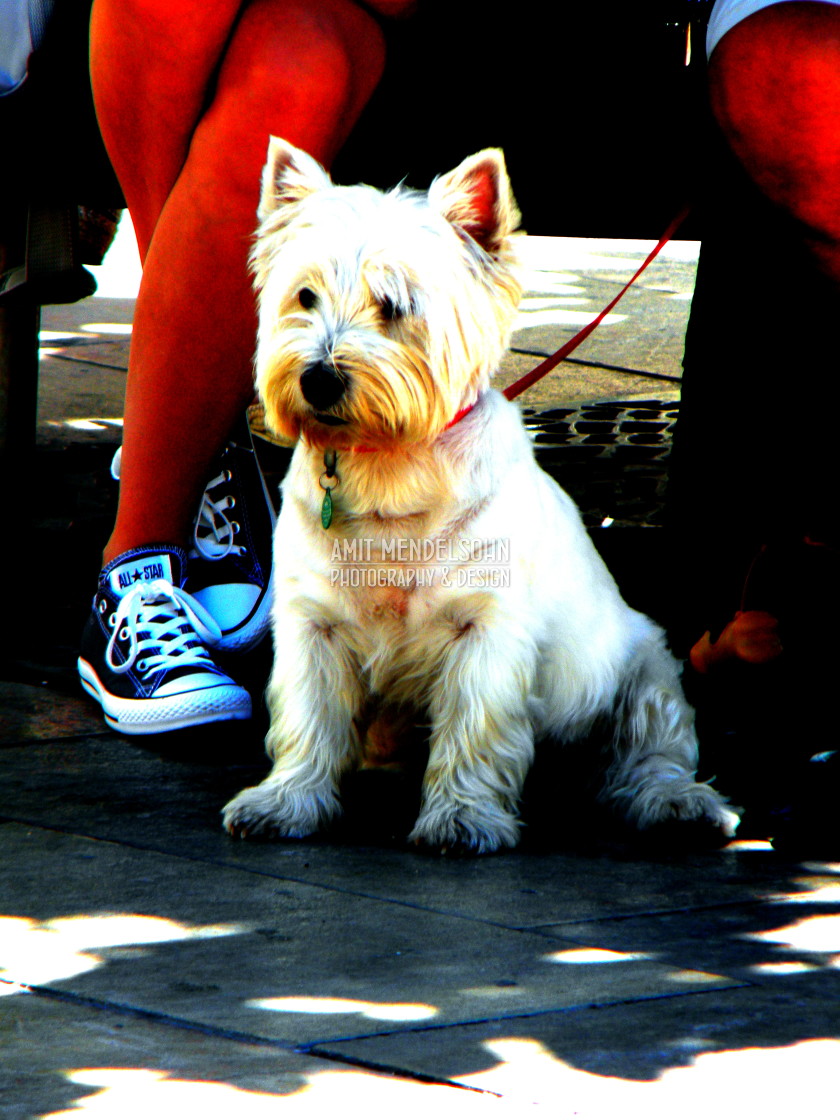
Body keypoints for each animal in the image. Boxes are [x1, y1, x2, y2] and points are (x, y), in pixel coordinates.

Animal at [220, 137, 739, 855]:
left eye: (395, 304)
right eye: (304, 295)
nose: (319, 379)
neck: (390, 468)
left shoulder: (485, 631)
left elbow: (474, 726)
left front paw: (461, 818)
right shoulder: (312, 625)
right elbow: (307, 719)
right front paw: (285, 801)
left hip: (644, 670)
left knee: (650, 752)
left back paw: (679, 804)